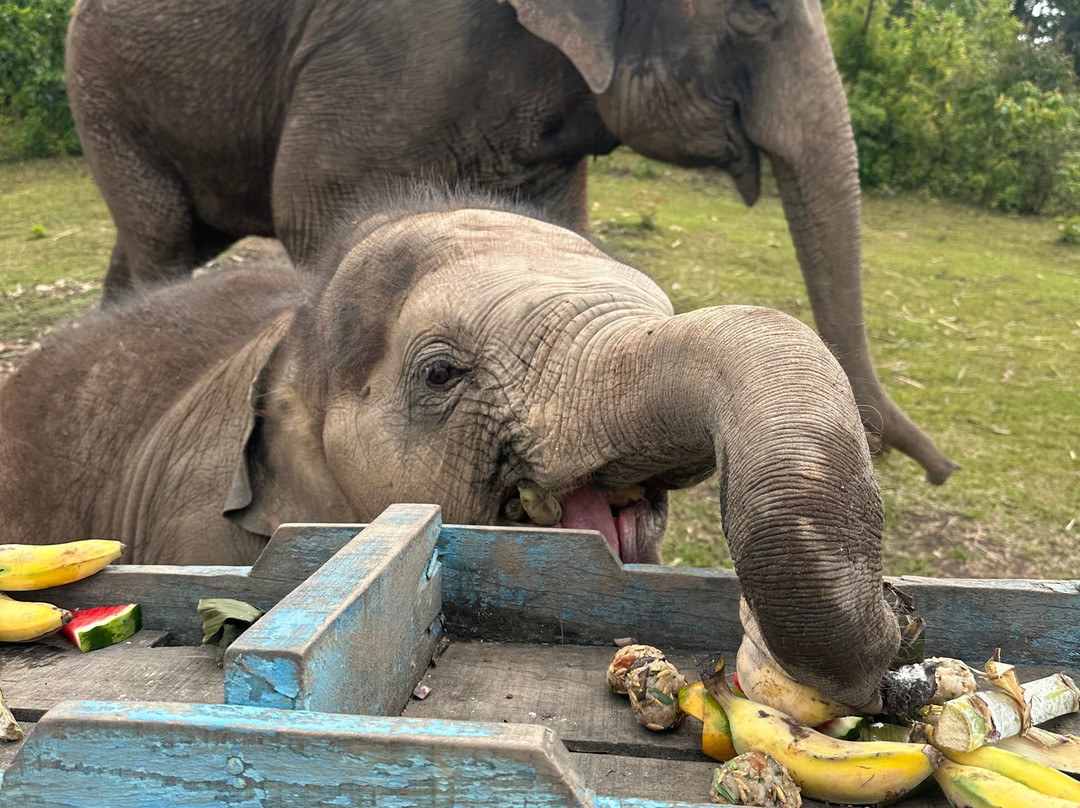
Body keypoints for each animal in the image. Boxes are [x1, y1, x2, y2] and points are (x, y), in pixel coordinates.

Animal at [65, 0, 958, 485]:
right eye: (755, 13)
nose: (939, 467)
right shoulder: (379, 61)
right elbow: (323, 214)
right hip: (104, 90)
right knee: (162, 236)